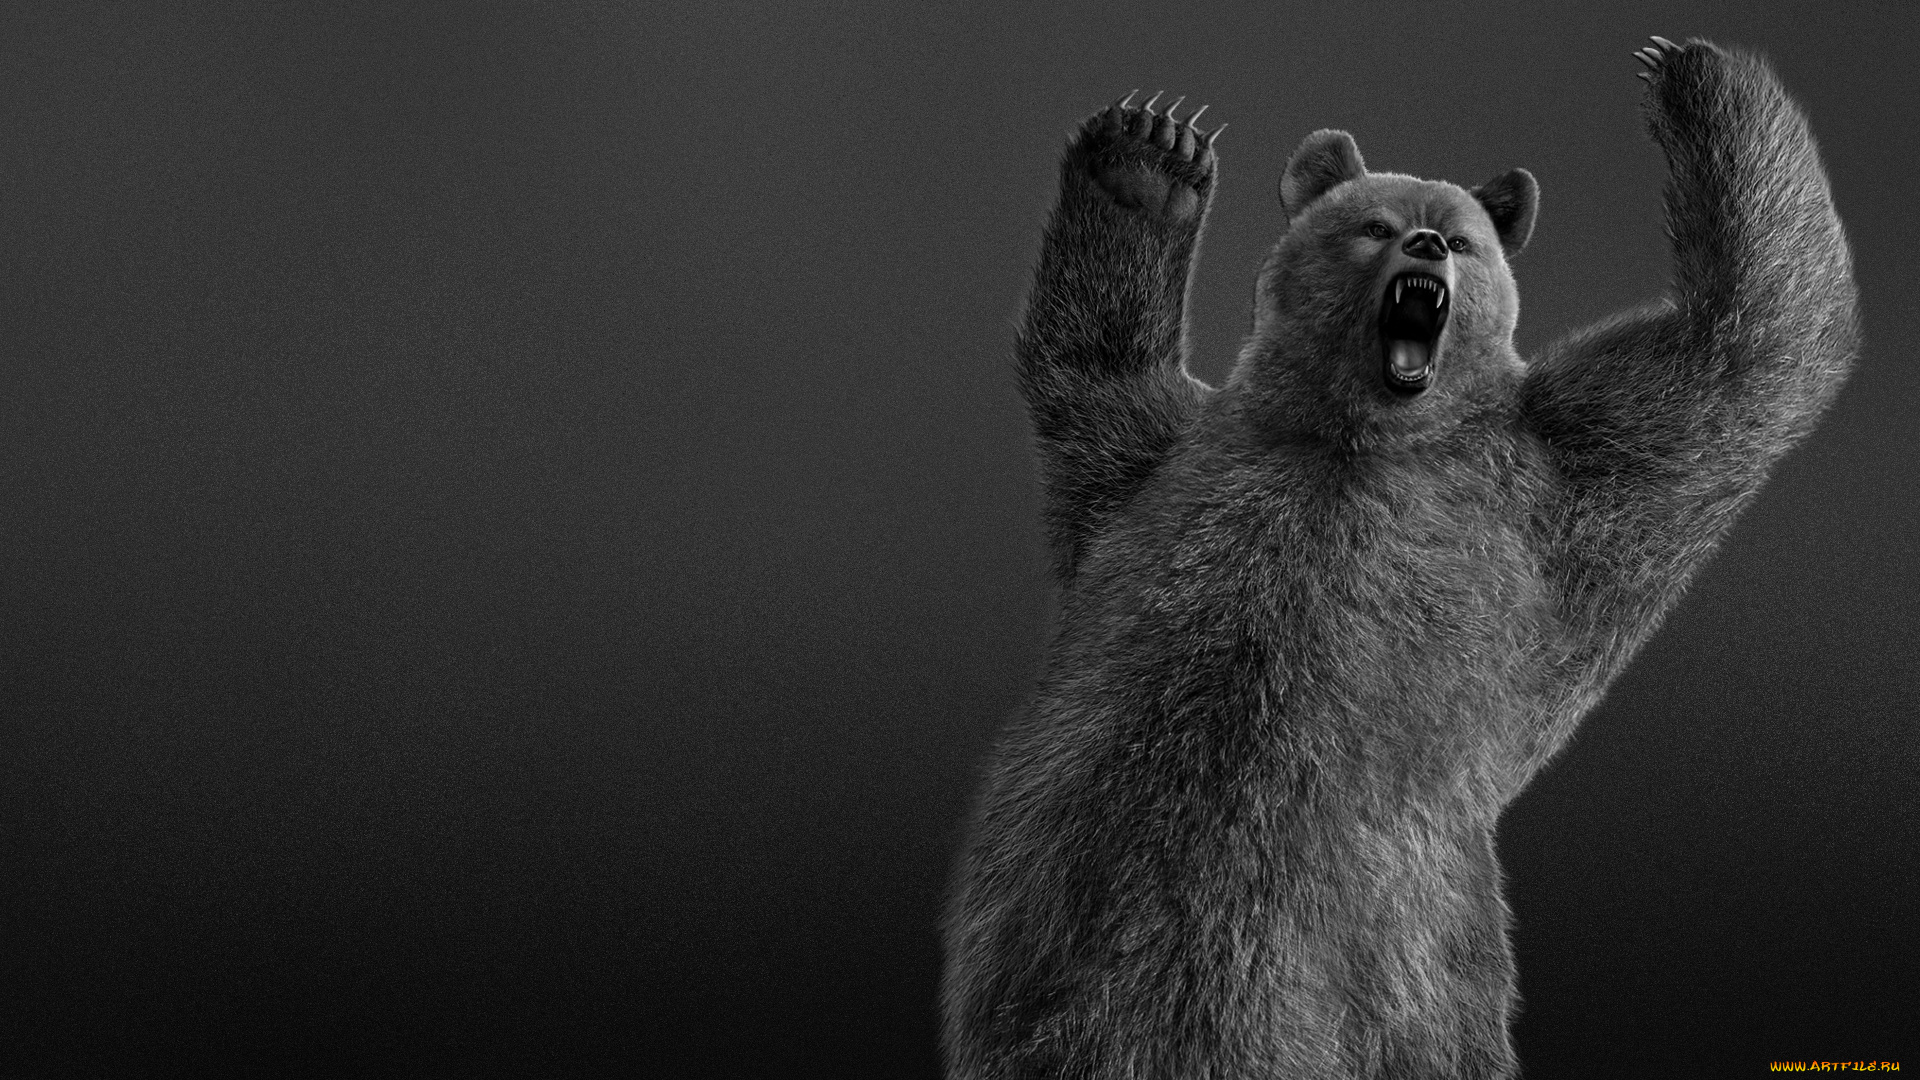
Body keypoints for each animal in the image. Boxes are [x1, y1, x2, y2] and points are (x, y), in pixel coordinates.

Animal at [943, 38, 1858, 1080]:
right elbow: (1091, 378)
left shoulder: (1557, 481)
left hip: (1421, 949)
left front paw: (1690, 75)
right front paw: (1150, 153)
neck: (1361, 436)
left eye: (1461, 240)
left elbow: (1746, 351)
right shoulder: (1162, 465)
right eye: (1373, 224)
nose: (1422, 246)